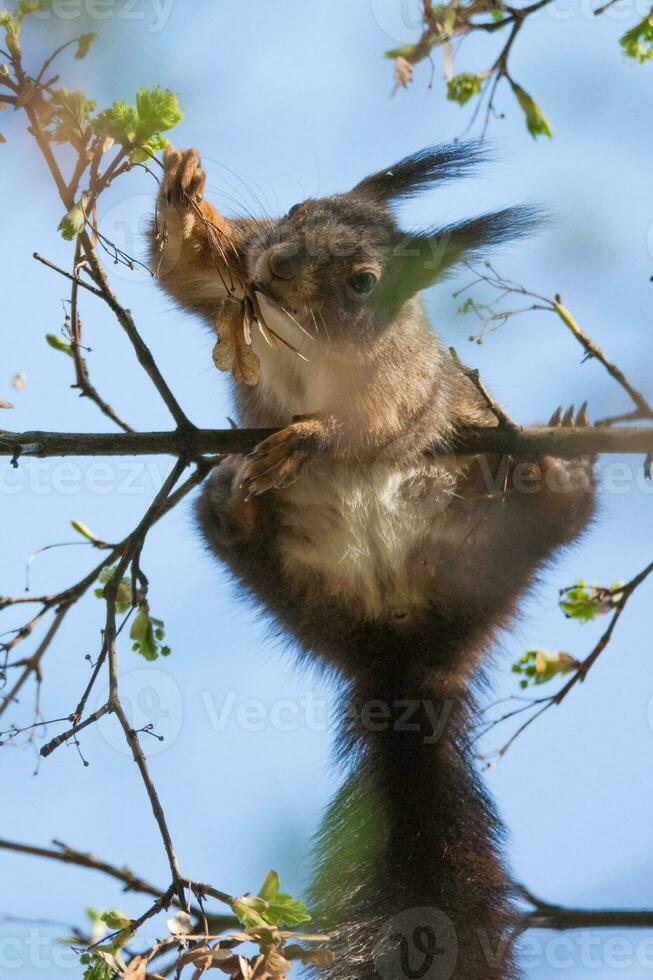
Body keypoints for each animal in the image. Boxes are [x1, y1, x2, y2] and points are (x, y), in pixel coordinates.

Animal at [150, 145, 592, 980]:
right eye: (296, 208)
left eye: (363, 281)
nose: (277, 263)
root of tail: (405, 655)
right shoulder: (234, 286)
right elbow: (186, 277)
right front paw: (184, 197)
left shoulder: (402, 382)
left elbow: (377, 424)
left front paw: (312, 435)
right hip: (295, 592)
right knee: (236, 531)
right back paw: (233, 502)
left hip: (490, 556)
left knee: (554, 521)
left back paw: (558, 477)